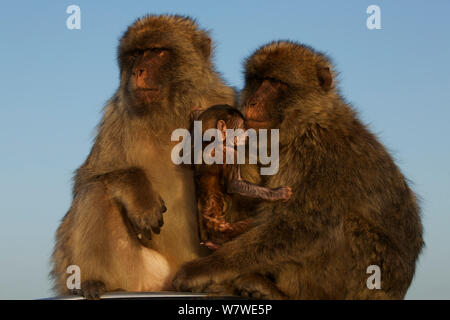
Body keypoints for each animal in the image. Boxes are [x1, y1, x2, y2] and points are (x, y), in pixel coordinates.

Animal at [51, 15, 236, 300]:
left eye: (157, 51)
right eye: (136, 54)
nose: (137, 71)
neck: (167, 111)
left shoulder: (225, 101)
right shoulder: (117, 114)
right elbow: (87, 178)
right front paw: (140, 194)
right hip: (139, 275)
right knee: (95, 192)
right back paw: (91, 281)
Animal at [191, 105, 292, 250]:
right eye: (240, 126)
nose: (245, 131)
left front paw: (196, 113)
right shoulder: (229, 153)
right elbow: (235, 184)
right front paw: (279, 193)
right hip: (228, 231)